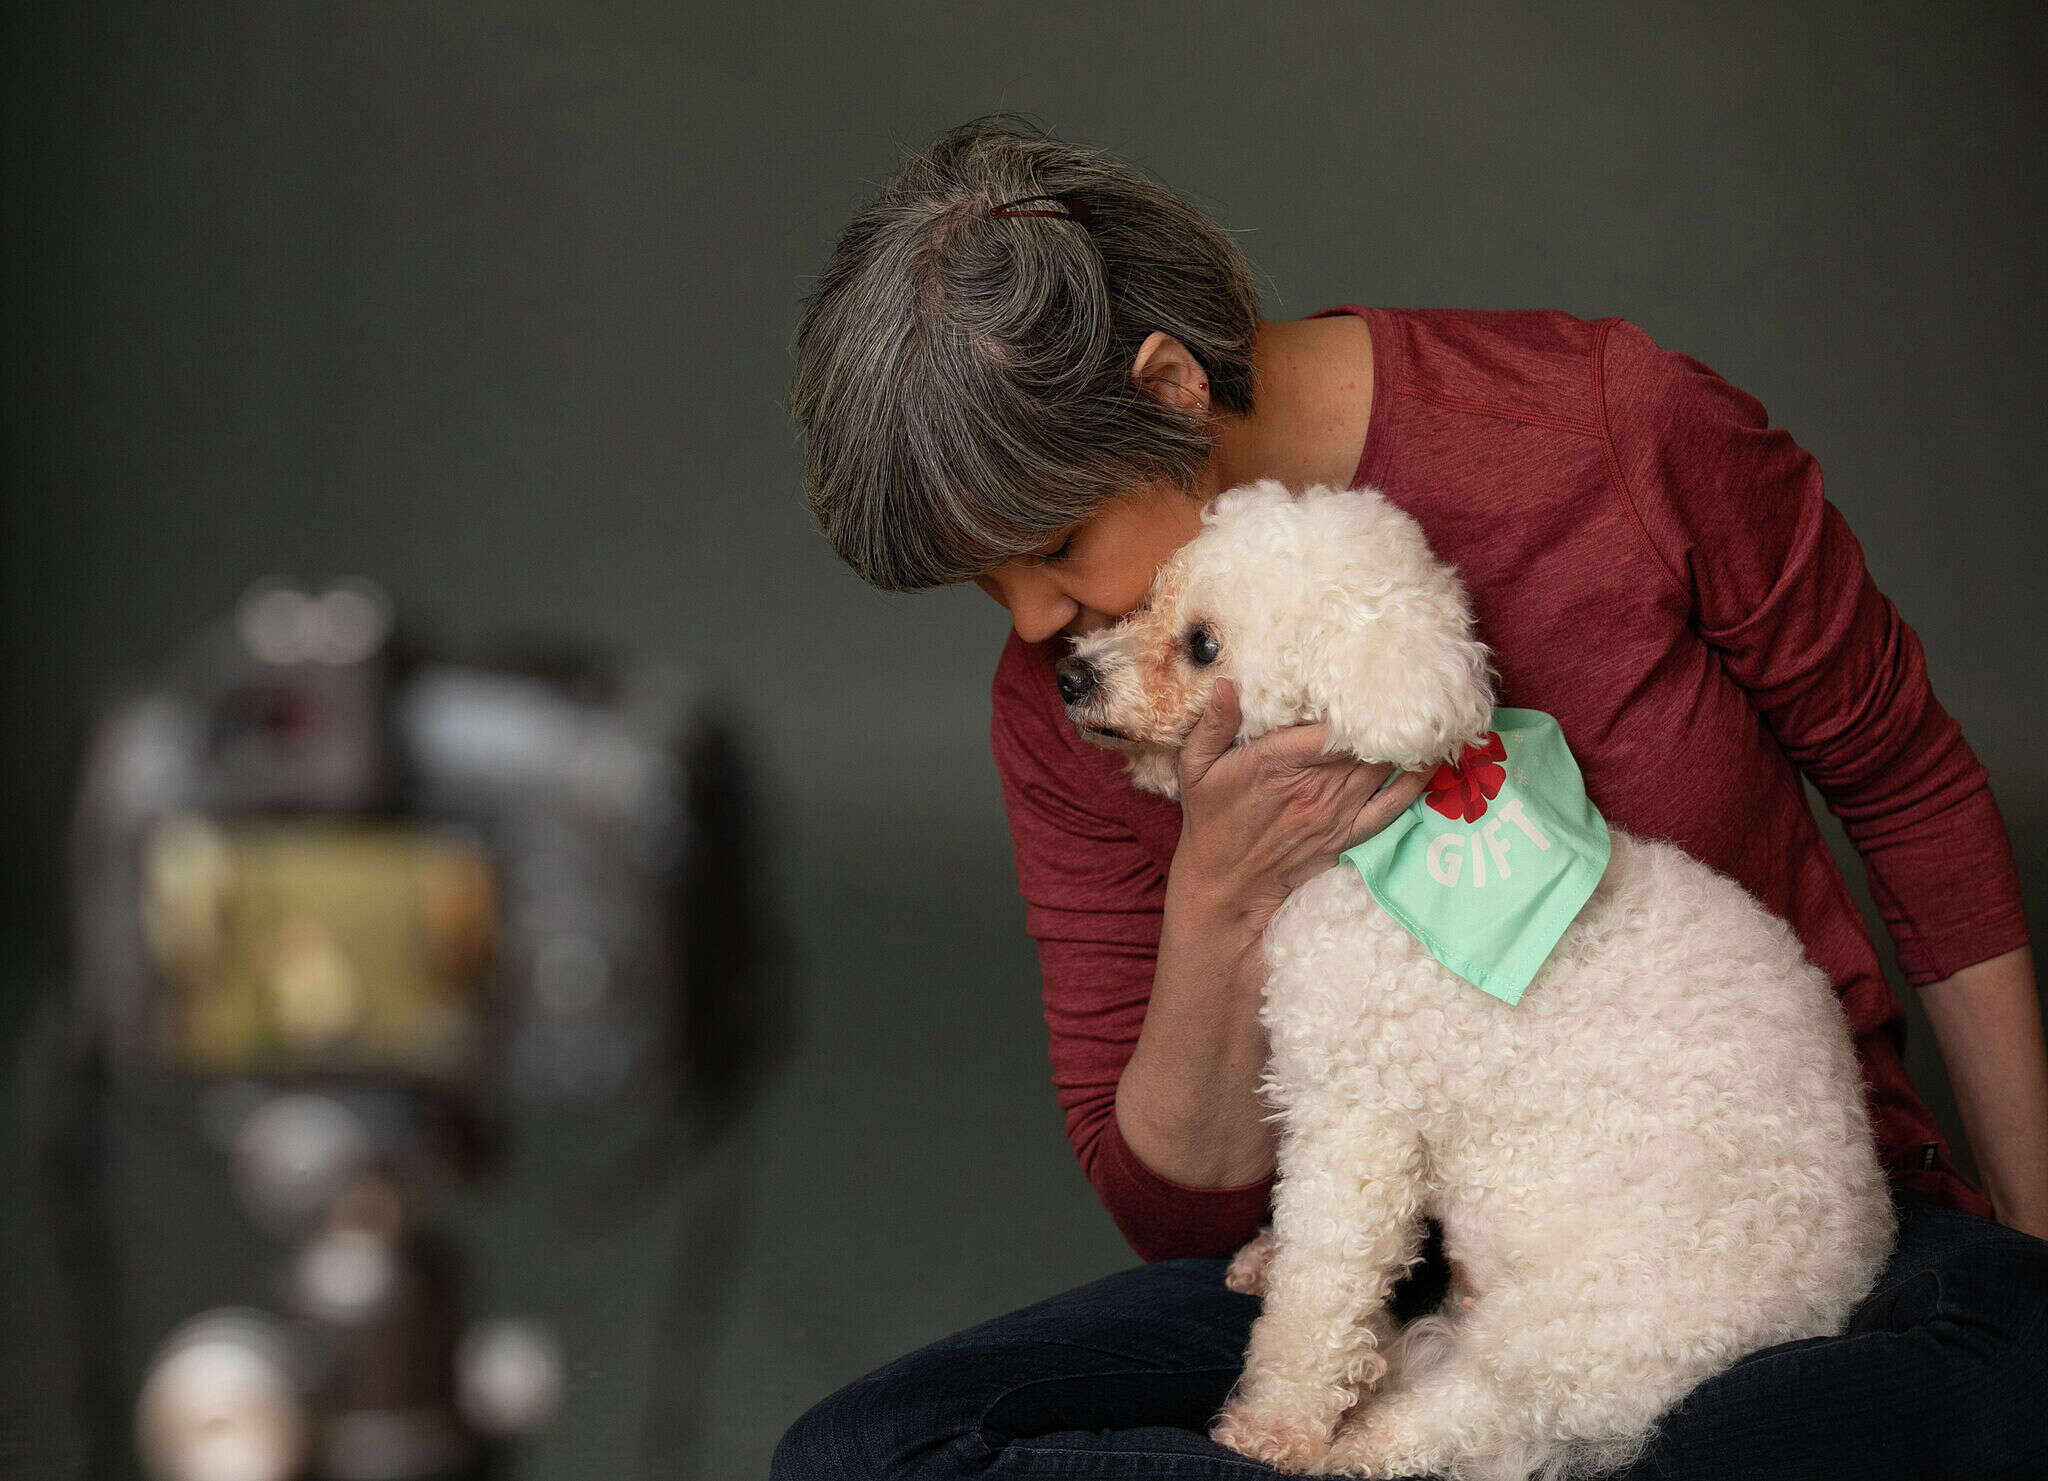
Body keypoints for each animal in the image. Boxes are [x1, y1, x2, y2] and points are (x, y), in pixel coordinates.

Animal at [1064, 481, 1892, 1474]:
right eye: (1150, 598)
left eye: (1202, 644)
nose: (1071, 675)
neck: (1389, 846)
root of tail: (1840, 1283)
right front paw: (1270, 1252)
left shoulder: (1361, 1115)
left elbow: (1321, 1283)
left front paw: (1275, 1421)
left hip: (1593, 1328)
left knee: (1481, 1413)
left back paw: (1356, 1438)